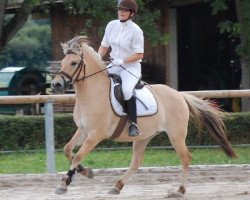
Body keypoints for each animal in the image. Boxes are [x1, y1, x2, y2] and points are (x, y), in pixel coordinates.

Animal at [51, 36, 236, 197]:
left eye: (74, 63)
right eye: (63, 62)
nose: (56, 85)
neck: (92, 94)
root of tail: (180, 95)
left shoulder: (95, 135)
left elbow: (78, 155)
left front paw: (64, 184)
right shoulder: (83, 130)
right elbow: (68, 150)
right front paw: (85, 171)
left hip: (175, 135)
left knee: (185, 157)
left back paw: (180, 191)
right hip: (143, 137)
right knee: (136, 163)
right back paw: (117, 186)